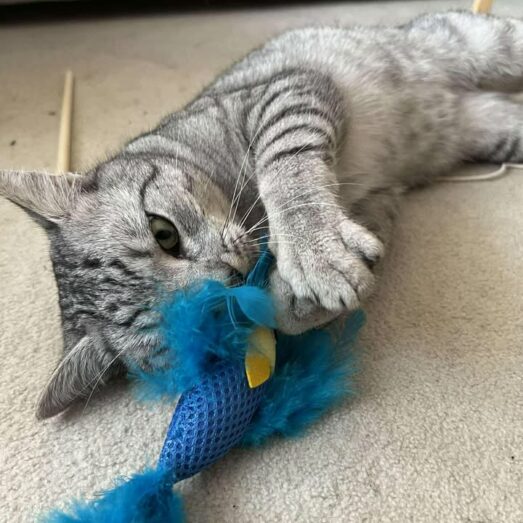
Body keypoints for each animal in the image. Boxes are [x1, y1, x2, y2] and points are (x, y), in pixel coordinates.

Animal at [1, 10, 522, 419]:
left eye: (163, 232)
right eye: (197, 314)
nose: (232, 274)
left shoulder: (281, 94)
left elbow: (286, 168)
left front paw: (311, 250)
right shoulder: (376, 205)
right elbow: (293, 314)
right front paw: (288, 299)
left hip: (468, 41)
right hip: (493, 129)